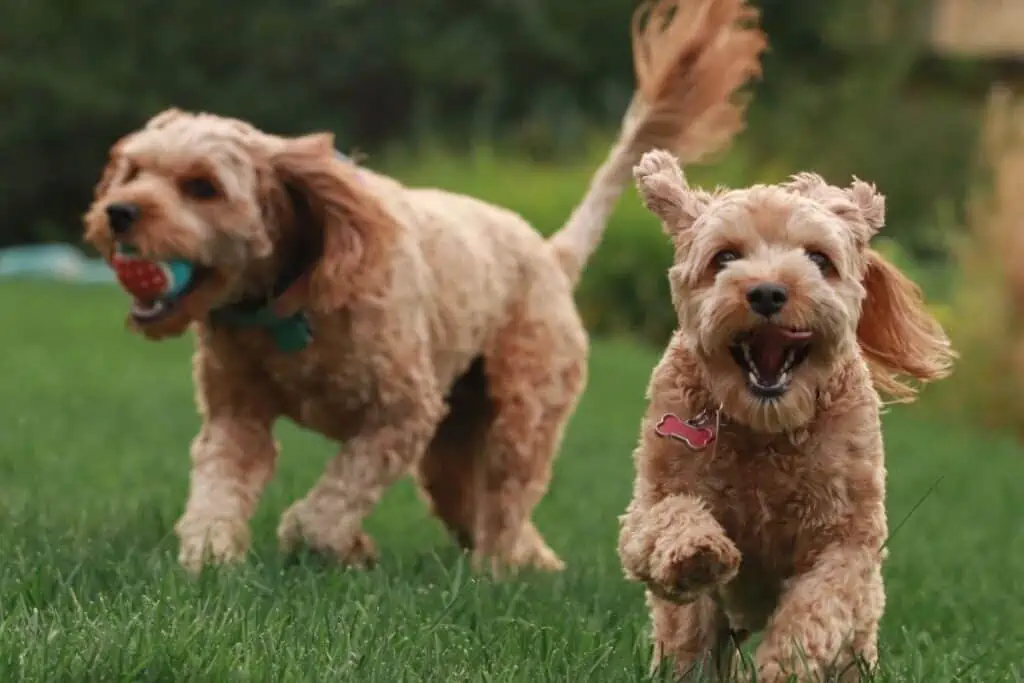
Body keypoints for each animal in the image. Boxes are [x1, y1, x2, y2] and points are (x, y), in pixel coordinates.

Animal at [79, 1, 765, 577]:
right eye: (133, 169)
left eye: (202, 187)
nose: (118, 213)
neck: (288, 305)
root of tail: (550, 253)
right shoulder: (236, 413)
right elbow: (220, 483)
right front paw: (210, 555)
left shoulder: (401, 411)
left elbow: (333, 499)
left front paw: (325, 539)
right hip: (455, 435)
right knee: (469, 497)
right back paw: (526, 560)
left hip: (523, 409)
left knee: (507, 493)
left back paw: (499, 569)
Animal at [614, 152, 958, 679]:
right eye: (724, 258)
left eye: (818, 259)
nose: (768, 293)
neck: (764, 428)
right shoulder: (650, 500)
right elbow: (667, 518)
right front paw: (698, 552)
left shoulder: (847, 540)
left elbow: (816, 609)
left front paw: (784, 666)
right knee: (688, 640)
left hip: (860, 631)